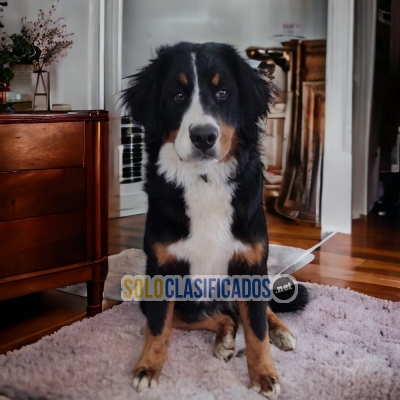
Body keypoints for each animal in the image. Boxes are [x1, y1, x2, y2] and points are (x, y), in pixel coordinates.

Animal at [123, 40, 308, 396]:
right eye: (178, 95)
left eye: (222, 93)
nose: (204, 136)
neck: (204, 180)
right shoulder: (162, 270)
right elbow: (157, 328)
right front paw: (148, 367)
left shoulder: (251, 264)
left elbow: (257, 331)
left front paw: (265, 374)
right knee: (223, 318)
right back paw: (224, 338)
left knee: (259, 313)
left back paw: (281, 332)